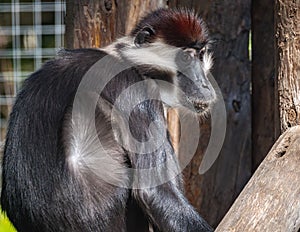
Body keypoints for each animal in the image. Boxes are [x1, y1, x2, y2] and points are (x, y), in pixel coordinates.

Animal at [0, 8, 216, 231]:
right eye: (186, 58)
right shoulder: (136, 90)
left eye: (201, 56)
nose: (204, 85)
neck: (126, 58)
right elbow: (156, 192)